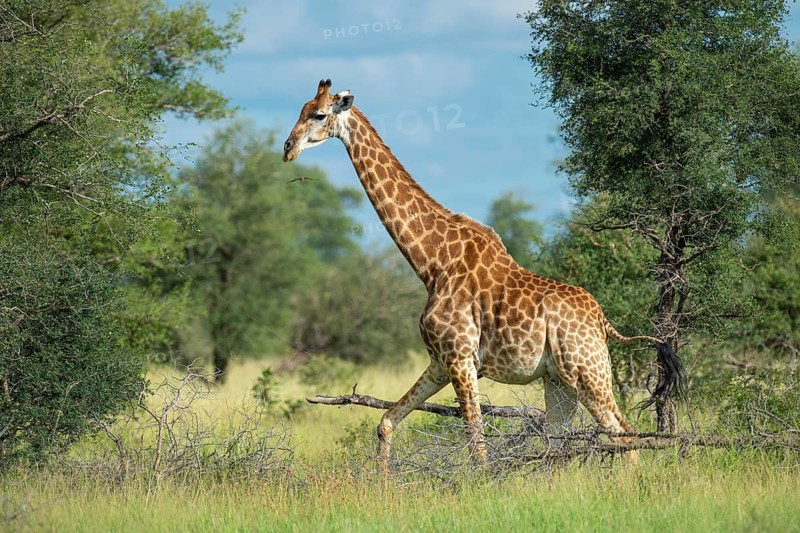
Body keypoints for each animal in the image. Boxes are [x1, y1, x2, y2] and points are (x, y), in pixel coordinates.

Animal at [283, 79, 685, 464]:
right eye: (302, 109)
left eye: (319, 114)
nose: (287, 148)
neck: (432, 263)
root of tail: (602, 321)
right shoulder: (440, 362)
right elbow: (386, 422)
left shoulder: (461, 358)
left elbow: (477, 443)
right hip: (558, 381)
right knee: (559, 442)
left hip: (587, 370)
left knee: (624, 434)